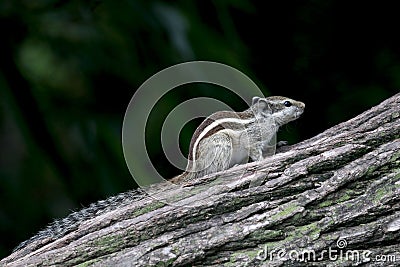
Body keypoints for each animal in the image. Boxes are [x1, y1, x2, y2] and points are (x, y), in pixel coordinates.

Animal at [11, 96, 306, 255]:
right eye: (287, 103)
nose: (304, 105)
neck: (263, 122)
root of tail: (191, 169)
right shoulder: (252, 140)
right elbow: (257, 153)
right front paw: (266, 158)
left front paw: (280, 145)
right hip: (220, 147)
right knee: (213, 171)